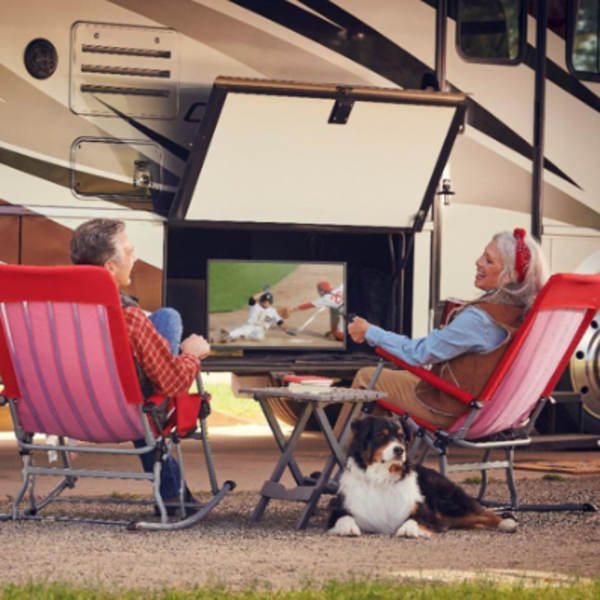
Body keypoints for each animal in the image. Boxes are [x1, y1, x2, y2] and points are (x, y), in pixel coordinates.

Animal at [328, 418, 516, 540]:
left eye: (402, 437)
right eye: (380, 435)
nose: (399, 450)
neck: (381, 477)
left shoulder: (424, 510)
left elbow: (414, 518)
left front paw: (408, 529)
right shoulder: (341, 506)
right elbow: (343, 517)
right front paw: (348, 528)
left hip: (449, 504)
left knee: (482, 512)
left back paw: (507, 523)